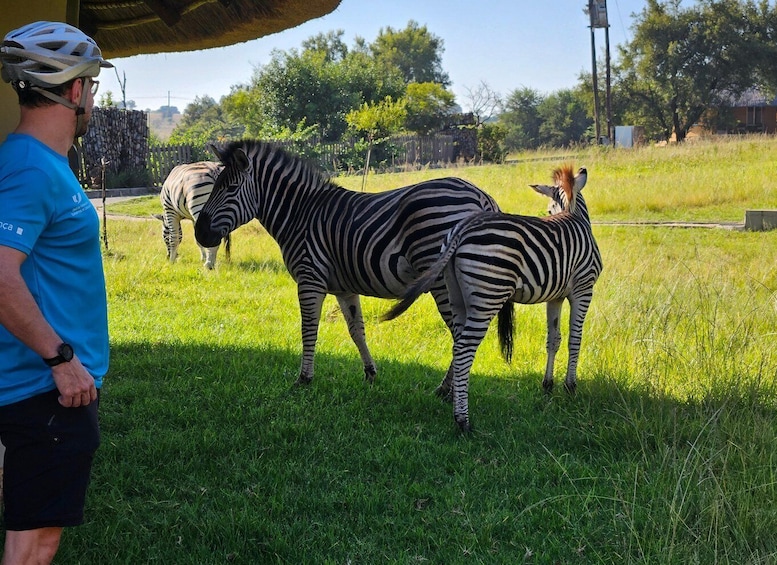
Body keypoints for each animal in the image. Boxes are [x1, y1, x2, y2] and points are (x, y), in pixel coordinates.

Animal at [193, 141, 498, 388]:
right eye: (214, 187)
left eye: (231, 189)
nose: (199, 234)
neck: (299, 214)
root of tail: (482, 197)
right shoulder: (344, 287)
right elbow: (357, 331)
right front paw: (370, 374)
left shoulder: (309, 278)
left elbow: (308, 329)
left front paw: (304, 379)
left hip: (443, 281)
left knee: (461, 334)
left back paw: (445, 390)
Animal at [384, 165, 604, 430]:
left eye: (550, 209)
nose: (551, 215)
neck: (575, 219)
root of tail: (463, 228)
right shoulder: (583, 288)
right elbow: (575, 339)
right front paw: (570, 387)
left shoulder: (556, 296)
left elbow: (553, 339)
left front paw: (548, 385)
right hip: (487, 295)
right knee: (465, 348)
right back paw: (463, 421)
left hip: (456, 294)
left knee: (457, 344)